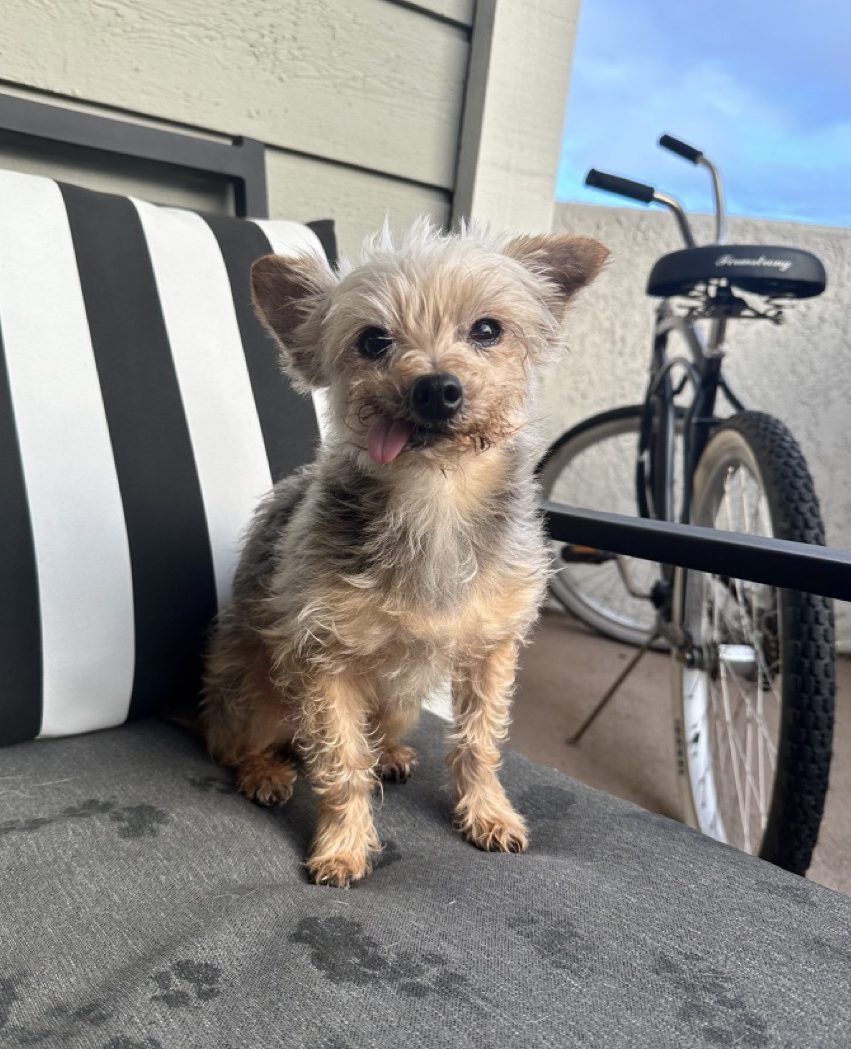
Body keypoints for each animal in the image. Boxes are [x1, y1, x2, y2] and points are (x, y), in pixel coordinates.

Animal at [202, 221, 608, 885]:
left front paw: (488, 814)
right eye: (372, 340)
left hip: (399, 703)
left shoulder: (492, 650)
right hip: (255, 693)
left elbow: (479, 743)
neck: (433, 497)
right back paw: (264, 771)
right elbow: (341, 763)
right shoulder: (325, 663)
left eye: (488, 330)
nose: (437, 388)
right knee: (233, 745)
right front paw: (343, 845)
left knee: (380, 734)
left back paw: (390, 753)